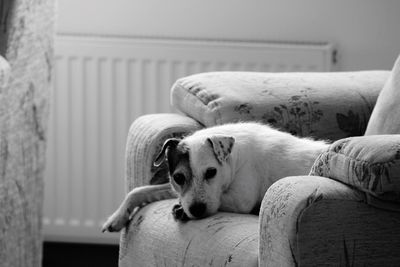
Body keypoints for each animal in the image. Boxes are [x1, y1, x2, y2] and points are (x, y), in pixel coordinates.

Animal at [101, 122, 330, 233]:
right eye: (178, 177)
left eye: (211, 172)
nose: (196, 210)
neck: (233, 159)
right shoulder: (177, 190)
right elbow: (139, 190)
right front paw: (117, 217)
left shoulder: (240, 199)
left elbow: (218, 201)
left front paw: (180, 210)